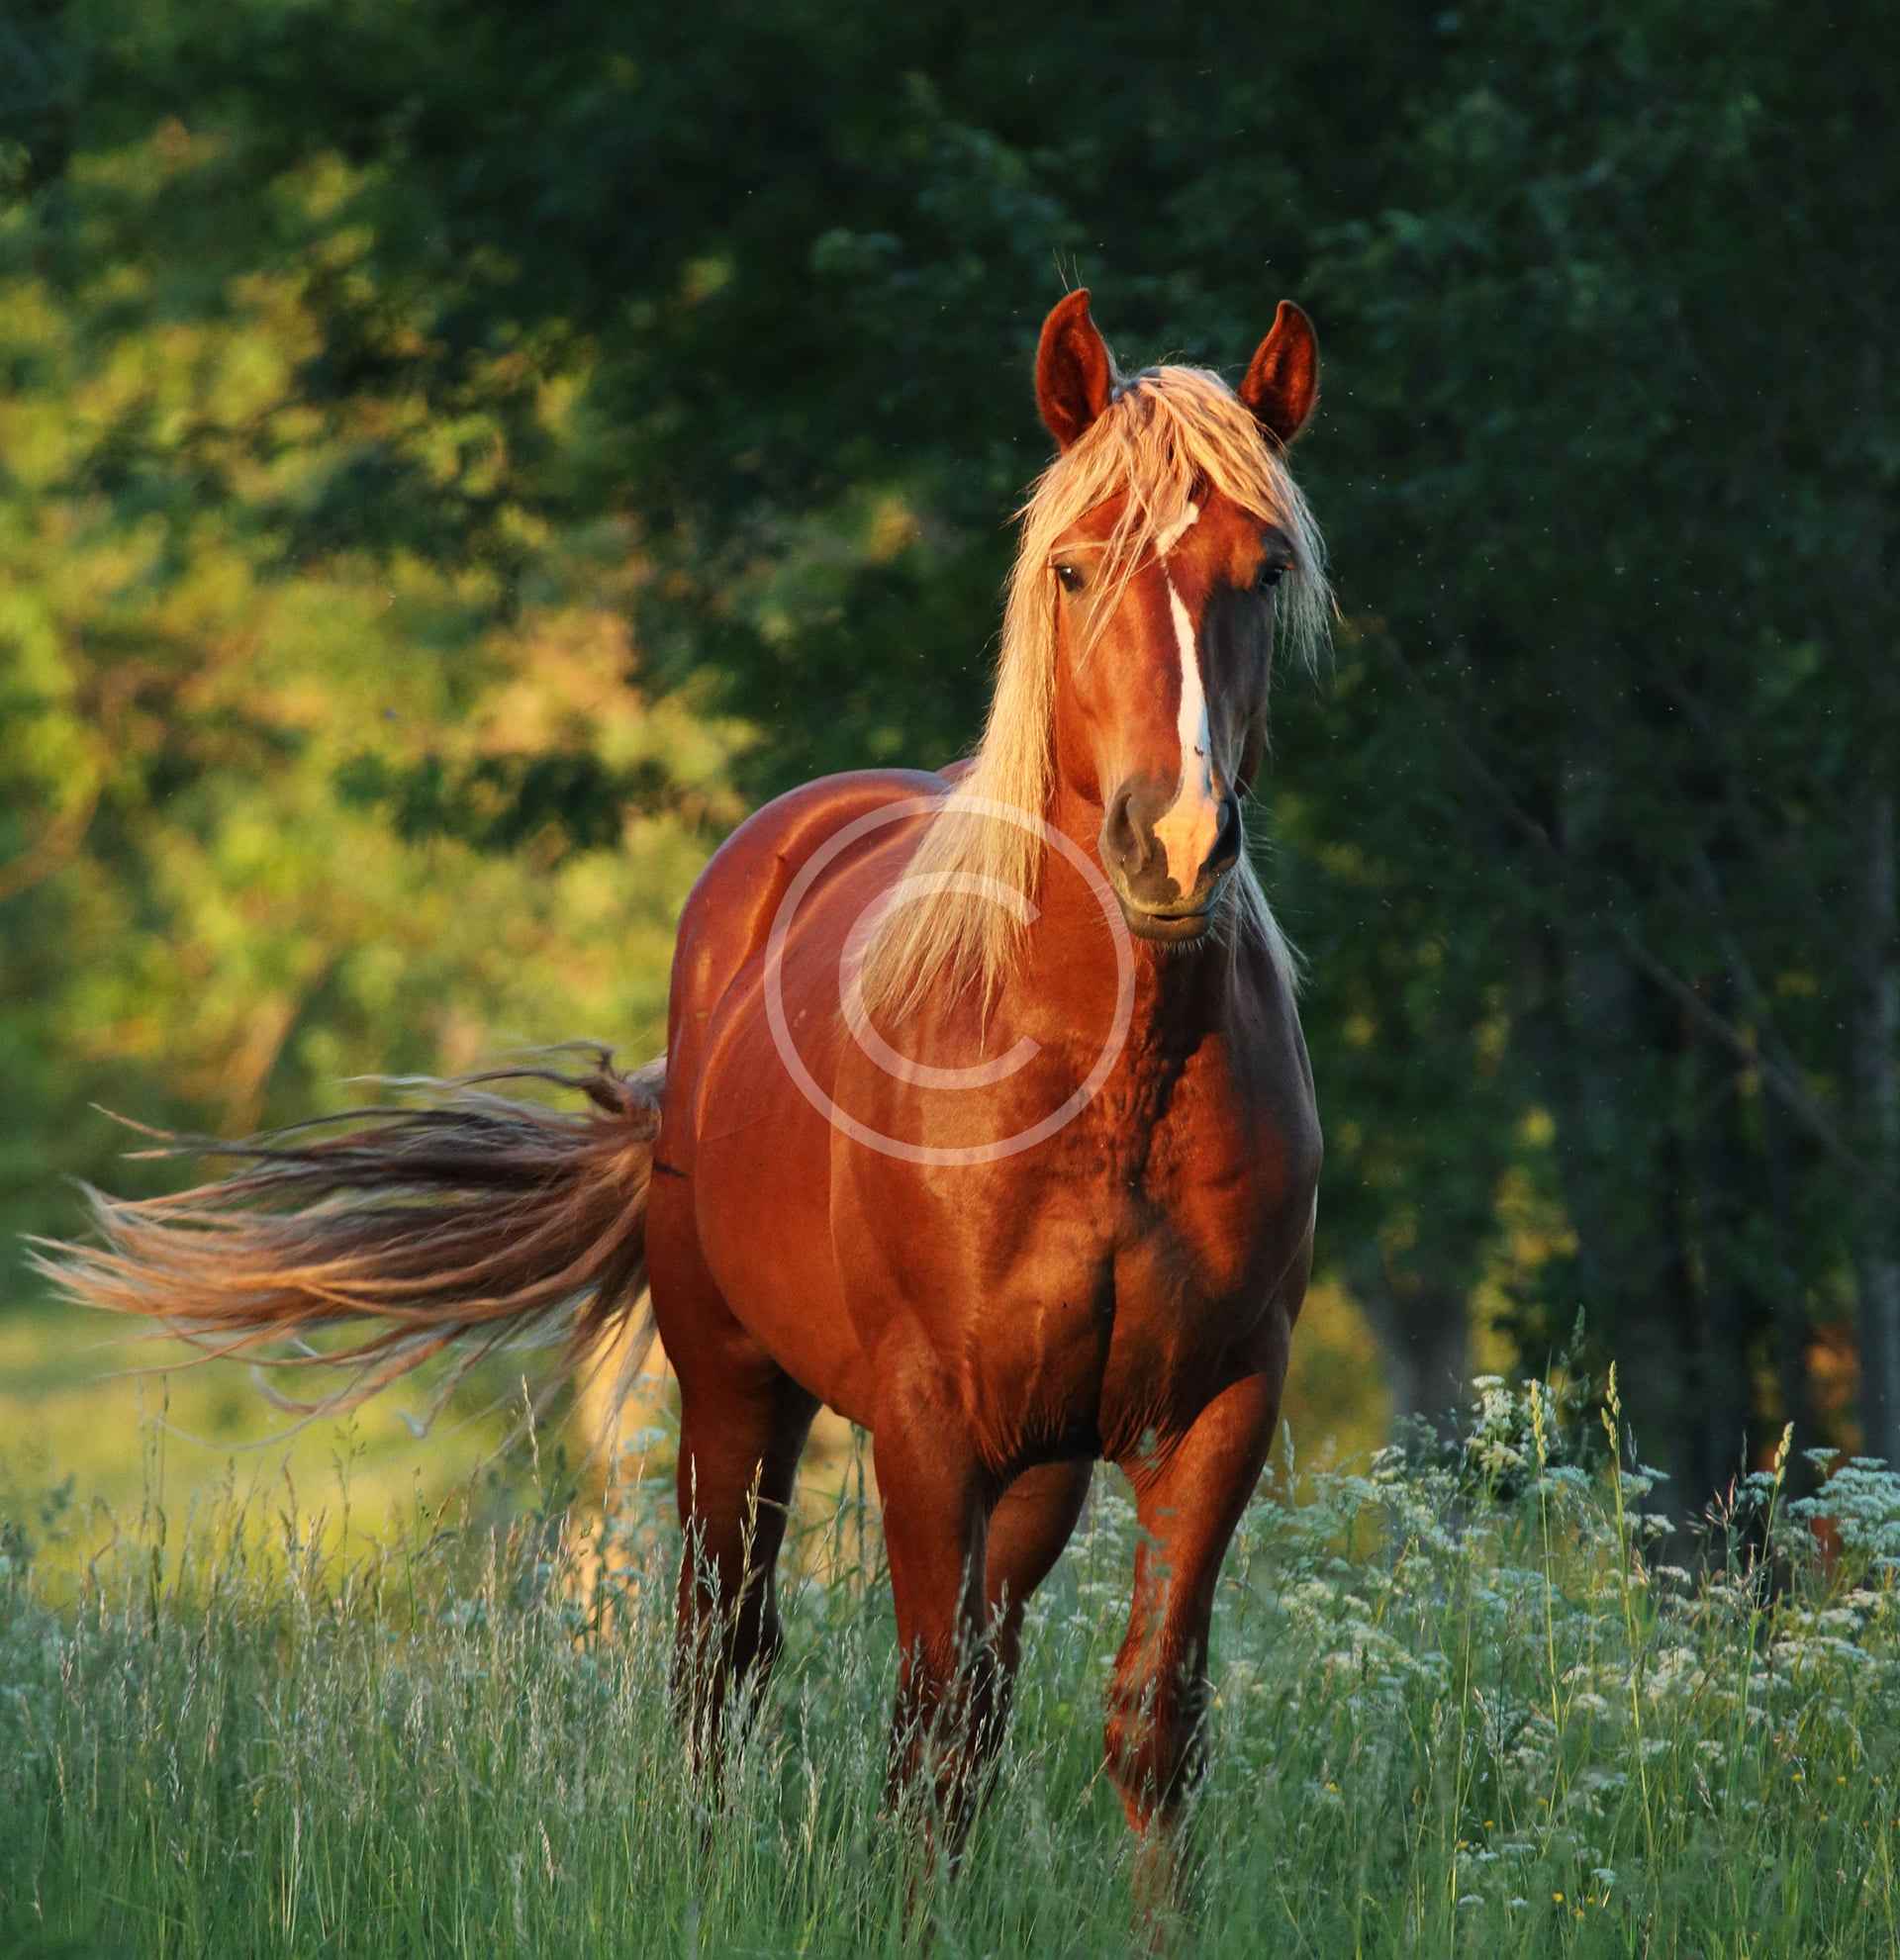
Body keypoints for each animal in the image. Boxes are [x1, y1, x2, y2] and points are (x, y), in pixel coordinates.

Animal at [38, 286, 1330, 1898]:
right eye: (1075, 564)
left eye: (1261, 570)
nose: (1177, 842)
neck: (1102, 1089)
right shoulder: (924, 1421)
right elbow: (920, 1732)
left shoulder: (1215, 1412)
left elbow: (1146, 1727)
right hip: (731, 1383)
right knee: (729, 1647)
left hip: (1032, 1462)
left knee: (969, 1675)